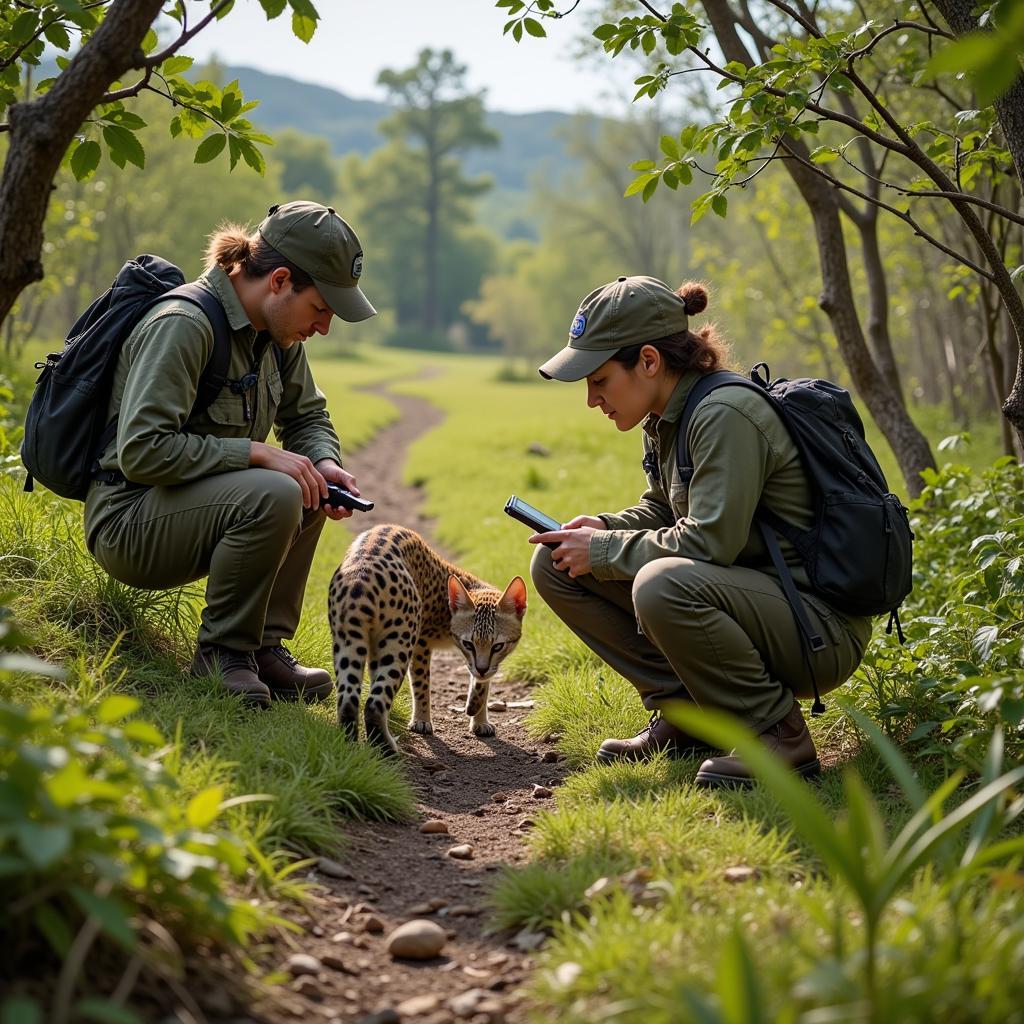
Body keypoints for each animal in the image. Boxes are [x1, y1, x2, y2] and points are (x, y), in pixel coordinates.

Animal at [327, 528, 528, 753]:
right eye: (468, 644)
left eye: (498, 646)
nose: (482, 668)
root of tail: (363, 568)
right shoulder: (421, 643)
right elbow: (422, 683)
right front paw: (422, 721)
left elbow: (482, 682)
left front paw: (479, 717)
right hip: (400, 642)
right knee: (374, 703)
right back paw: (387, 750)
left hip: (349, 642)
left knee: (348, 699)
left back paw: (349, 748)